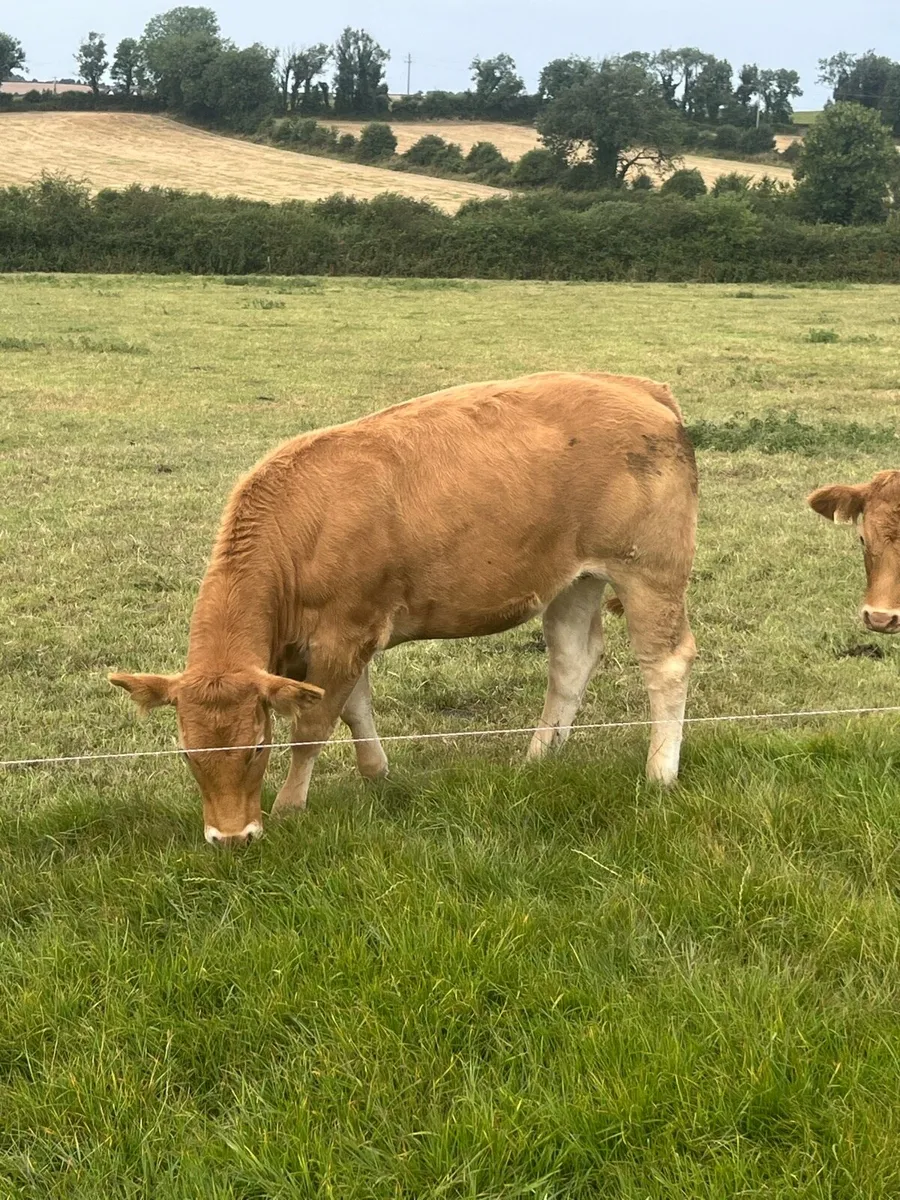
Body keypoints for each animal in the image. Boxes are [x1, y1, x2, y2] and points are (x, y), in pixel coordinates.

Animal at [110, 371, 699, 847]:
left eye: (257, 747)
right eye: (188, 753)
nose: (230, 838)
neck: (302, 528)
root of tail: (638, 387)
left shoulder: (345, 633)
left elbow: (314, 725)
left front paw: (290, 807)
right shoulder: (333, 643)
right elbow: (354, 708)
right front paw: (375, 772)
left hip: (649, 569)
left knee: (666, 662)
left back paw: (659, 772)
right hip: (574, 580)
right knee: (572, 661)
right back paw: (538, 758)